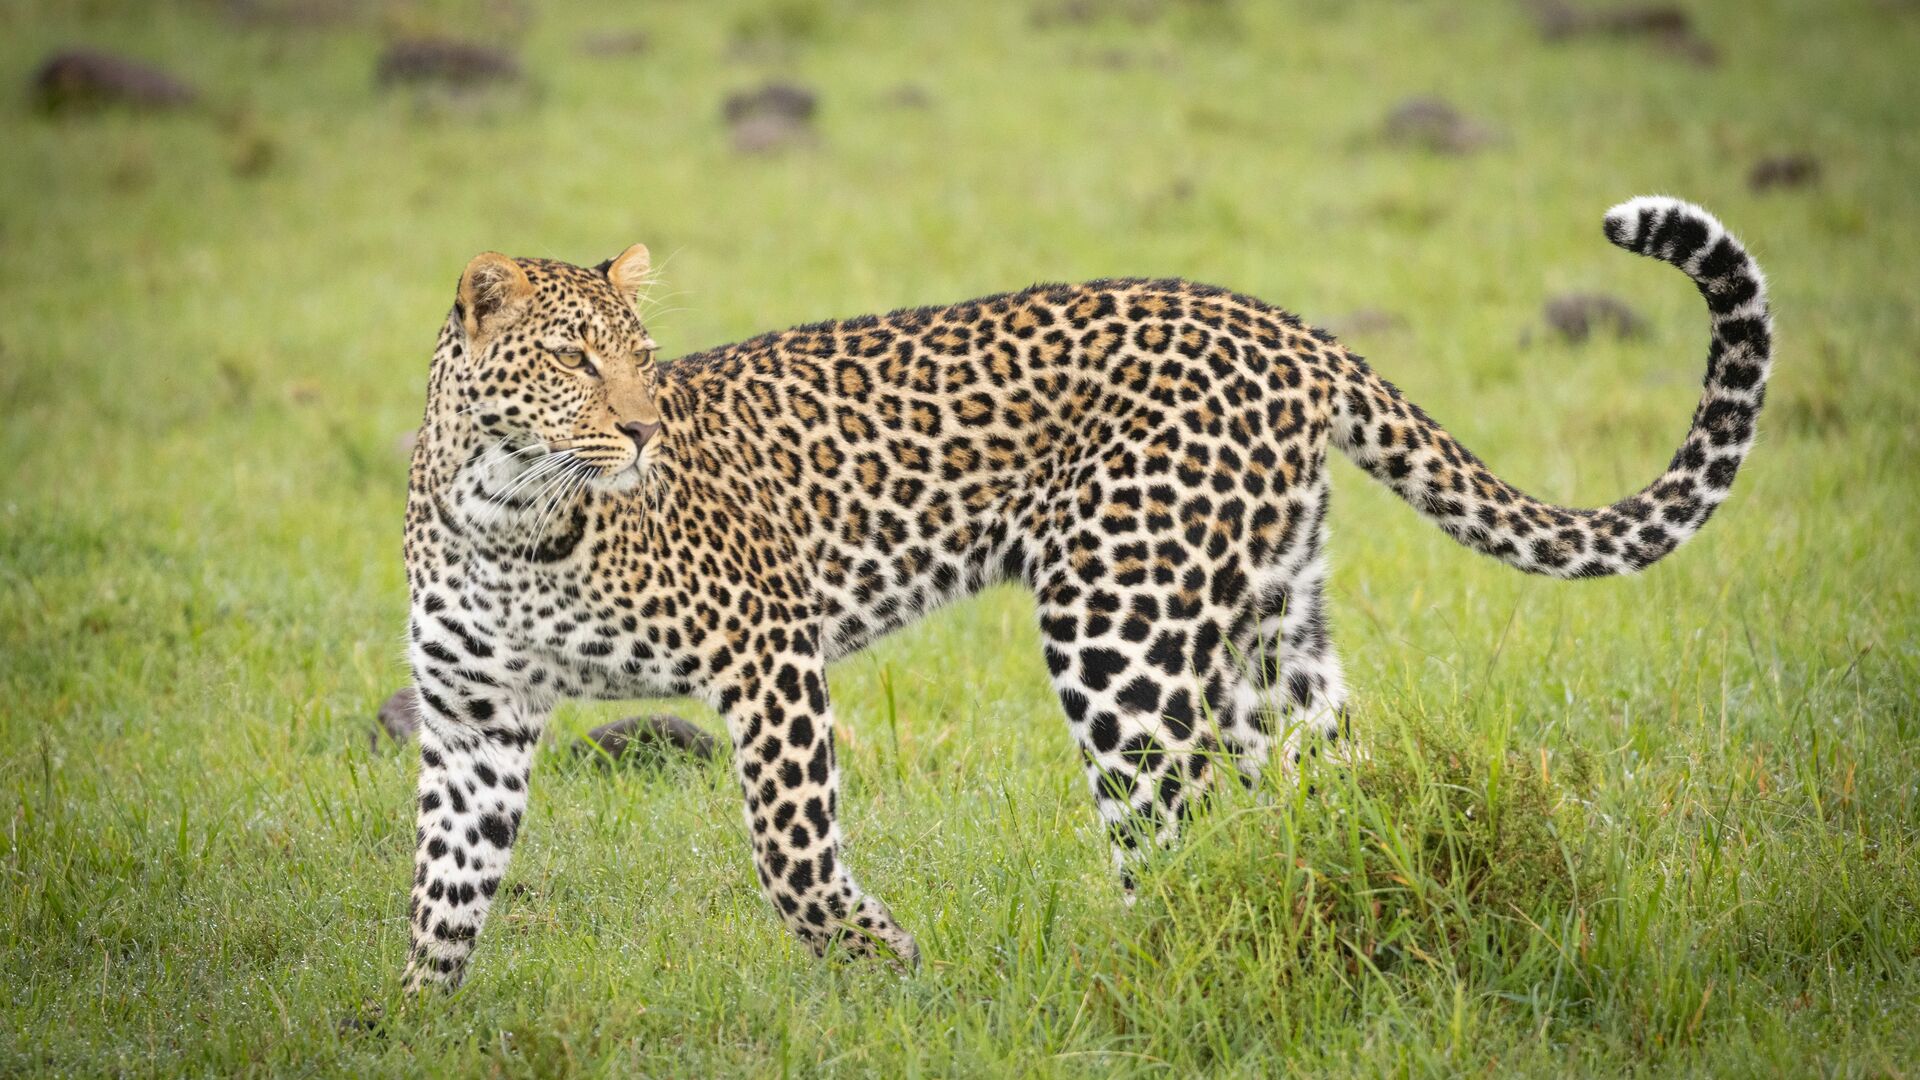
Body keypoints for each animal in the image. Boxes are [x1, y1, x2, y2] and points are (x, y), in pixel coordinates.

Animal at [399, 197, 1773, 990]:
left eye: (642, 359)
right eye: (577, 360)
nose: (642, 430)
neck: (506, 512)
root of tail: (1285, 326)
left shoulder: (769, 652)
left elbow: (789, 847)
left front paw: (881, 959)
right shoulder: (472, 722)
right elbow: (441, 890)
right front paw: (417, 1021)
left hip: (1119, 619)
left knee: (1176, 825)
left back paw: (1142, 980)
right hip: (1272, 625)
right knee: (1334, 793)